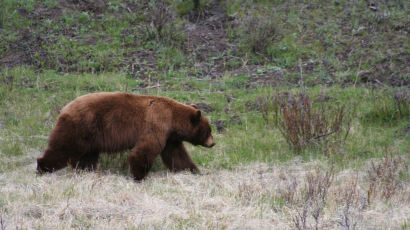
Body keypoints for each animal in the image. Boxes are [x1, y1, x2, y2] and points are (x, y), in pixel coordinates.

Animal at [36, 92, 215, 181]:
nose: (213, 143)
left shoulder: (171, 138)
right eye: (208, 131)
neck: (172, 119)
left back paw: (87, 171)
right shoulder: (156, 125)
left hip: (90, 137)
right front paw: (139, 176)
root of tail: (64, 108)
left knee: (87, 156)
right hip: (79, 127)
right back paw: (42, 168)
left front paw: (193, 171)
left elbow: (177, 156)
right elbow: (144, 150)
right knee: (62, 148)